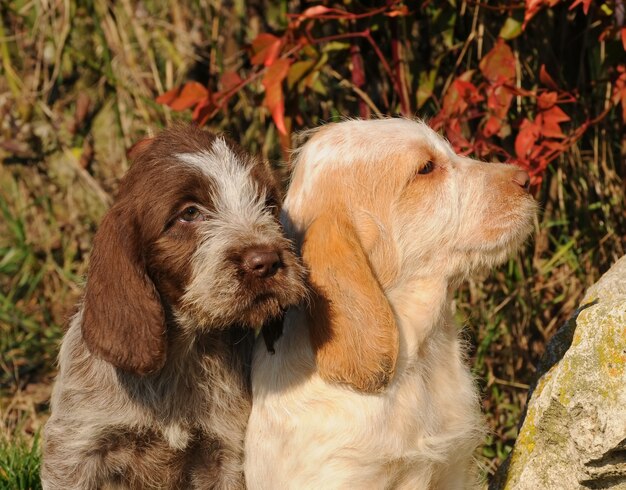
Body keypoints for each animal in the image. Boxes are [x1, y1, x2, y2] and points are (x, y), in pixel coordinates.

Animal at [41, 125, 304, 490]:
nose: (265, 262)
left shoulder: (225, 452)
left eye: (268, 204)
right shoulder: (75, 450)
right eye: (190, 213)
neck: (183, 350)